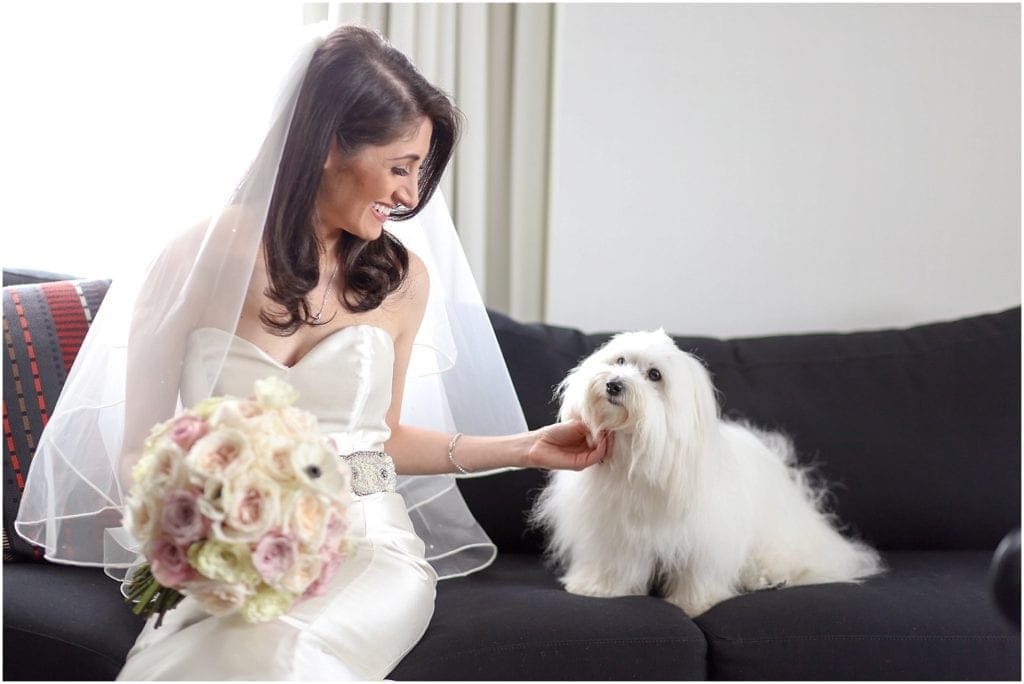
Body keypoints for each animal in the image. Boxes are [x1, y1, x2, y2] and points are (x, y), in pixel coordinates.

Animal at [532, 327, 884, 618]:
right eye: (619, 360)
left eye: (655, 375)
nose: (614, 384)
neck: (639, 450)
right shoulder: (614, 530)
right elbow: (614, 562)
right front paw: (600, 588)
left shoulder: (707, 535)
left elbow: (699, 571)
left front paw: (693, 603)